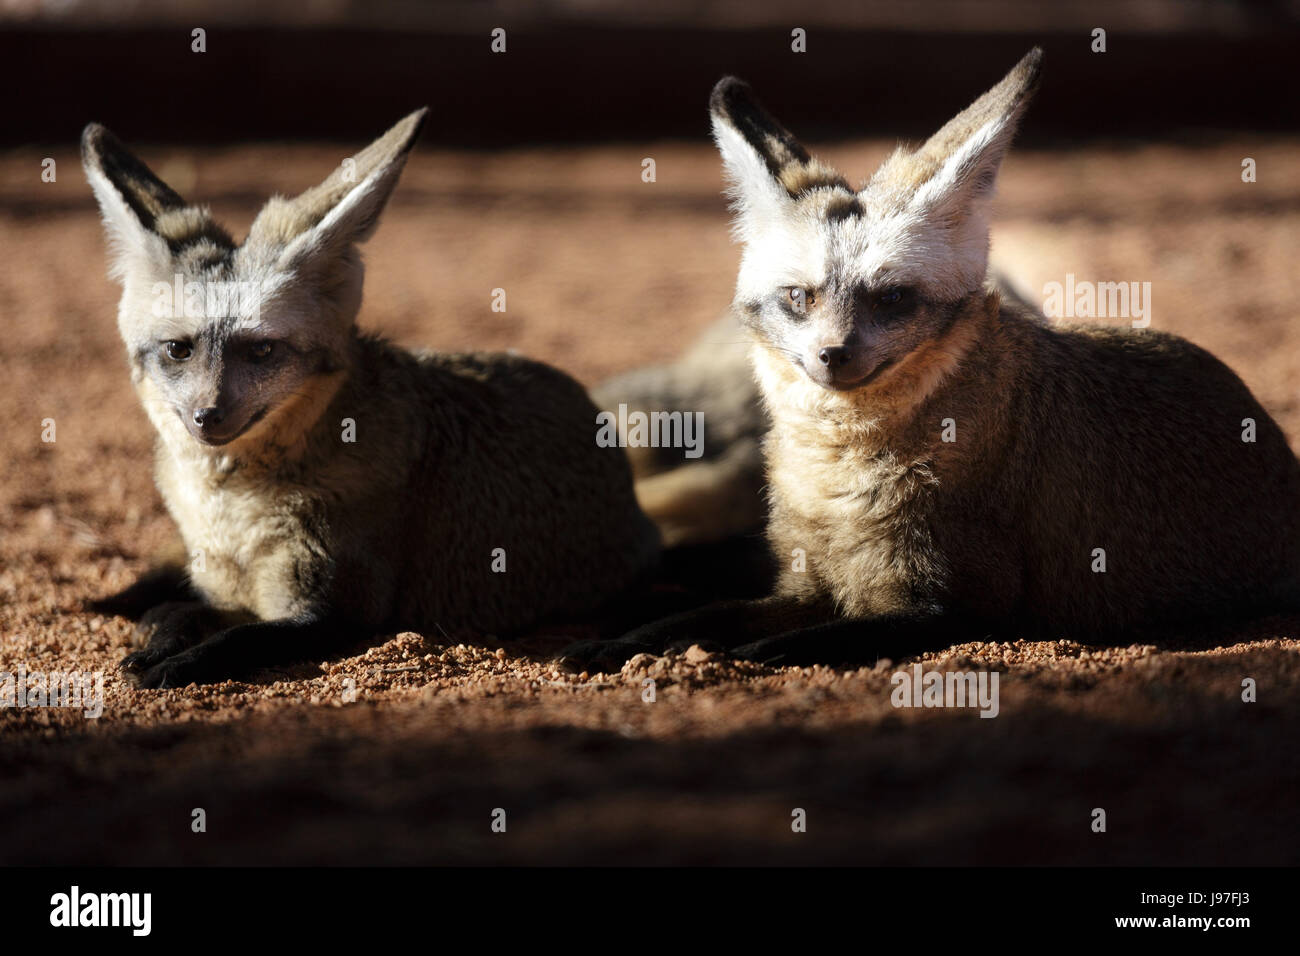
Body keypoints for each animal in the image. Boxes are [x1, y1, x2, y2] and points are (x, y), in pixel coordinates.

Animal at [83, 108, 660, 686]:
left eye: (263, 350)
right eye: (178, 349)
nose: (208, 417)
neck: (233, 511)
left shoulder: (339, 612)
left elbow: (238, 639)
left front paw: (176, 664)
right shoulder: (234, 590)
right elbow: (180, 612)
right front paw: (159, 642)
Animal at [564, 46, 1300, 671]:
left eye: (891, 298)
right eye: (799, 297)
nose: (833, 355)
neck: (840, 474)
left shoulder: (961, 604)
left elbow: (796, 645)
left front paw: (731, 659)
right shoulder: (804, 583)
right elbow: (706, 615)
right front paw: (622, 642)